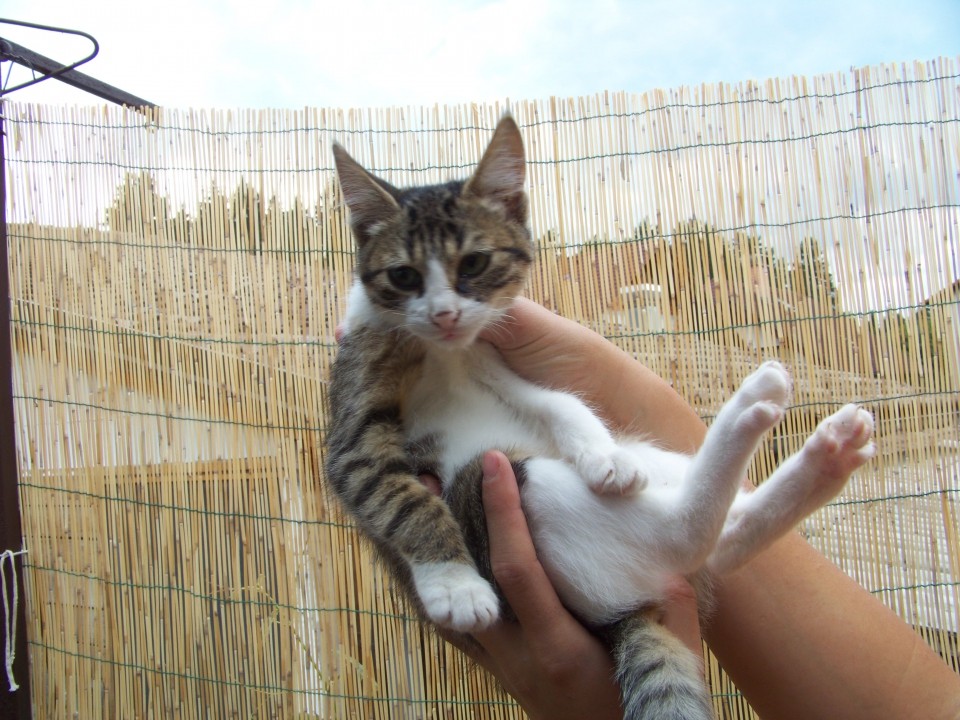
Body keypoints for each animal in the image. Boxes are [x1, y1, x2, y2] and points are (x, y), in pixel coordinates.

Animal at [324, 118, 876, 720]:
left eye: (472, 263)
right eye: (403, 276)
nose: (444, 315)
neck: (443, 354)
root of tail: (616, 620)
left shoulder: (497, 363)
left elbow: (560, 403)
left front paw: (602, 455)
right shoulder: (352, 420)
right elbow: (396, 494)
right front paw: (454, 583)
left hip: (643, 463)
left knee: (718, 536)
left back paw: (818, 454)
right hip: (507, 486)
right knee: (689, 538)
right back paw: (769, 420)